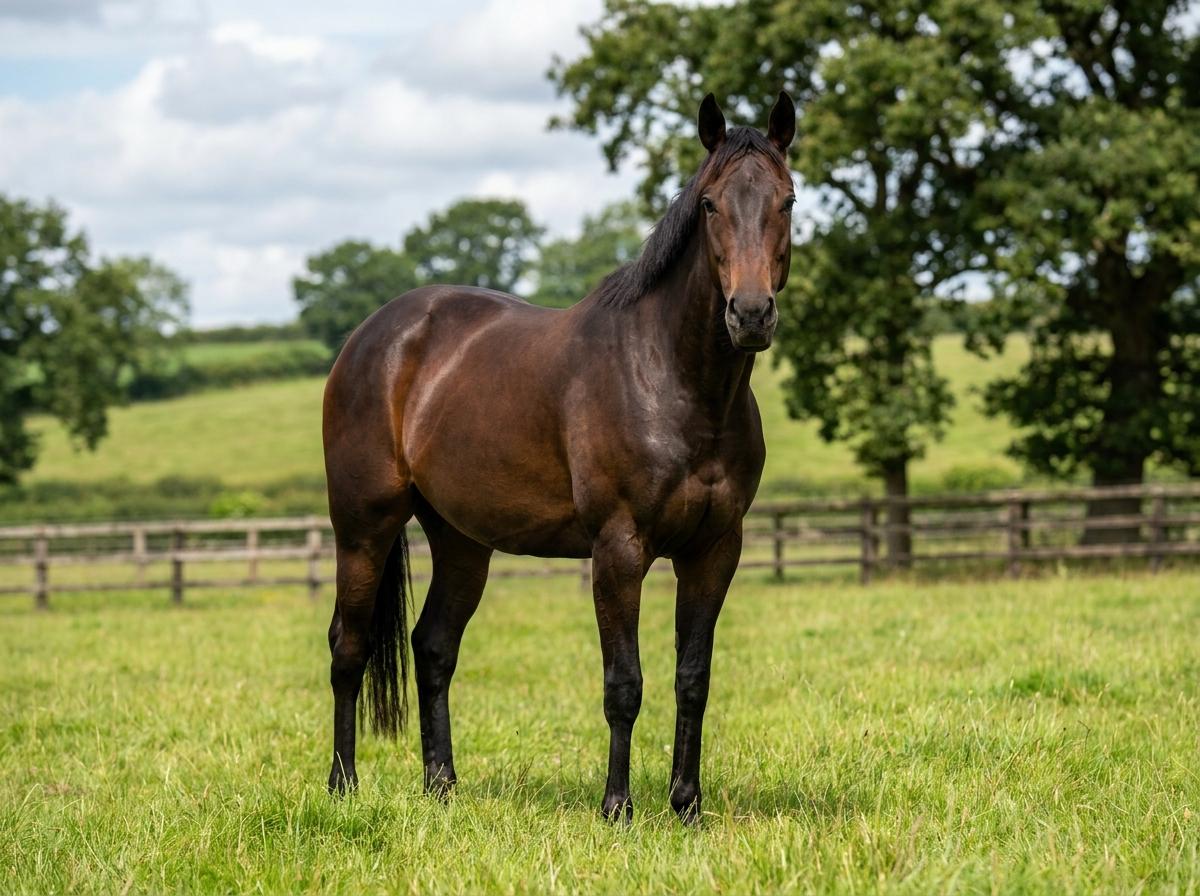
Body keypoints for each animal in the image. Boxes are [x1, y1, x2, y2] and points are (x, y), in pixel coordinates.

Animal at [322, 91, 796, 824]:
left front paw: (686, 806)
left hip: (461, 540)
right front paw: (617, 808)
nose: (749, 314)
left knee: (433, 647)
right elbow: (624, 682)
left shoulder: (716, 549)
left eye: (788, 200)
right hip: (363, 527)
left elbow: (693, 677)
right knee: (349, 646)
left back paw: (441, 786)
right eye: (711, 203)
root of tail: (373, 336)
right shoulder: (619, 549)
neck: (674, 381)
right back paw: (343, 787)